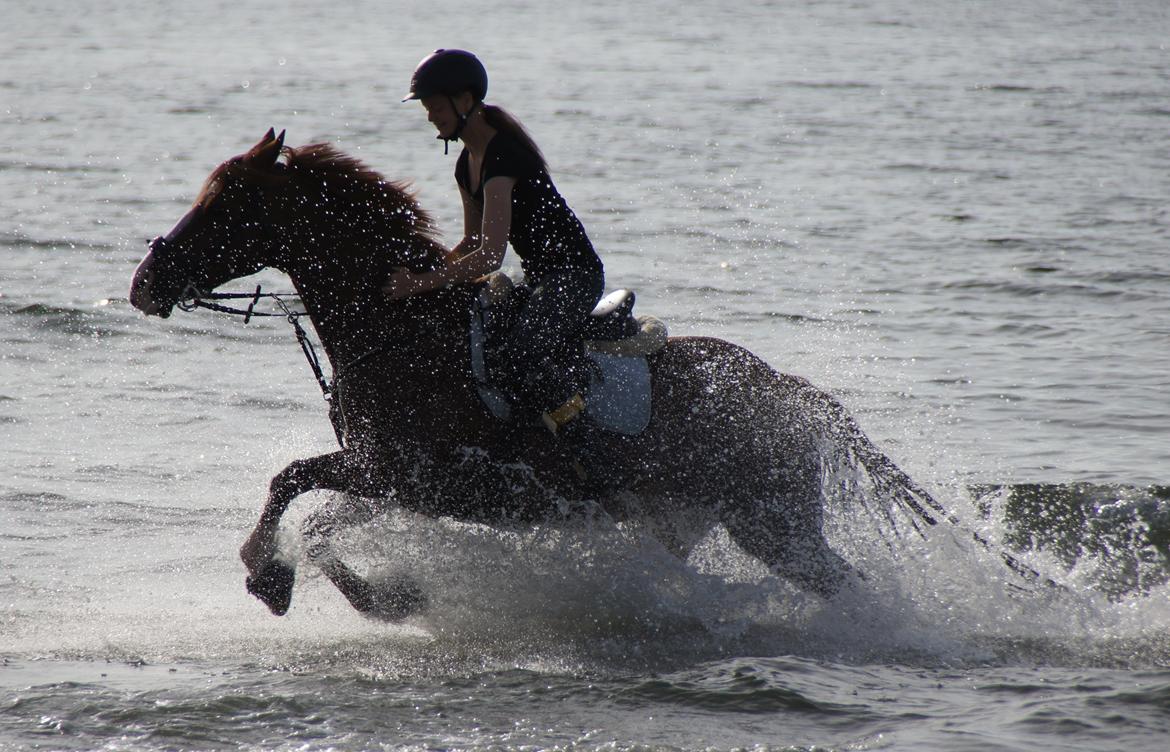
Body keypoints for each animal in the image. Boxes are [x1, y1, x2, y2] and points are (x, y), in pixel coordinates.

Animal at [128, 129, 954, 622]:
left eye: (224, 203)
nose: (143, 282)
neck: (403, 332)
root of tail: (798, 394)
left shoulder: (408, 473)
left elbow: (292, 481)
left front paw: (270, 577)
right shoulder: (394, 481)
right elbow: (320, 516)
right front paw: (379, 597)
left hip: (772, 524)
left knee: (848, 589)